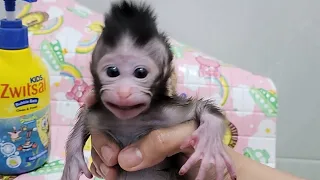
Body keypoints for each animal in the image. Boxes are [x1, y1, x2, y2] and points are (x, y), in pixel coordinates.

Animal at [61, 1, 236, 180]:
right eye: (112, 71)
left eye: (140, 73)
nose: (123, 92)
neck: (131, 120)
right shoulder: (99, 116)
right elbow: (85, 117)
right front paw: (73, 160)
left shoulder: (170, 113)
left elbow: (198, 108)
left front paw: (210, 140)